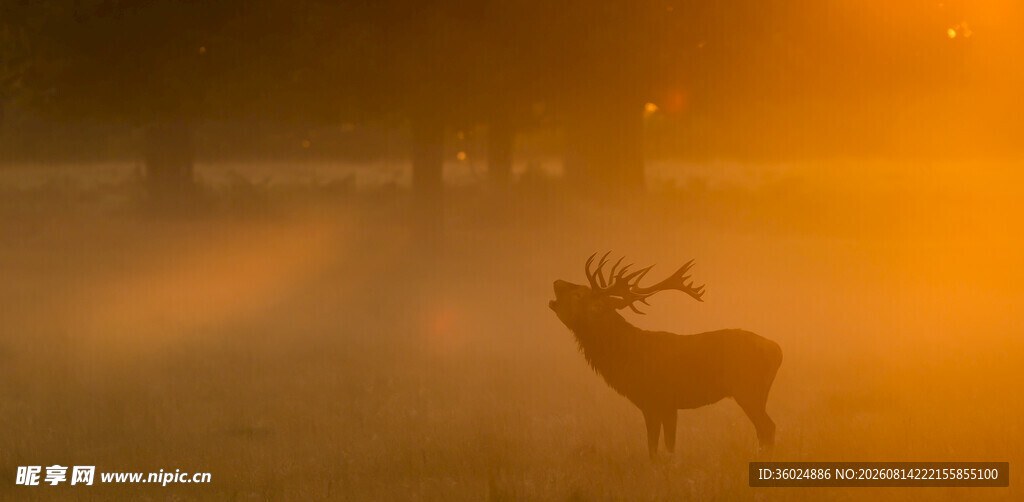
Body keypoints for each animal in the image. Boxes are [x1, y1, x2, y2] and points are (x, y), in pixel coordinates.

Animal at [548, 253, 782, 460]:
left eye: (580, 294)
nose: (557, 281)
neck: (625, 357)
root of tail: (778, 351)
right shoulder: (668, 405)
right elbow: (669, 445)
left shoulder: (655, 398)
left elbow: (654, 447)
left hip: (749, 390)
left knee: (768, 427)